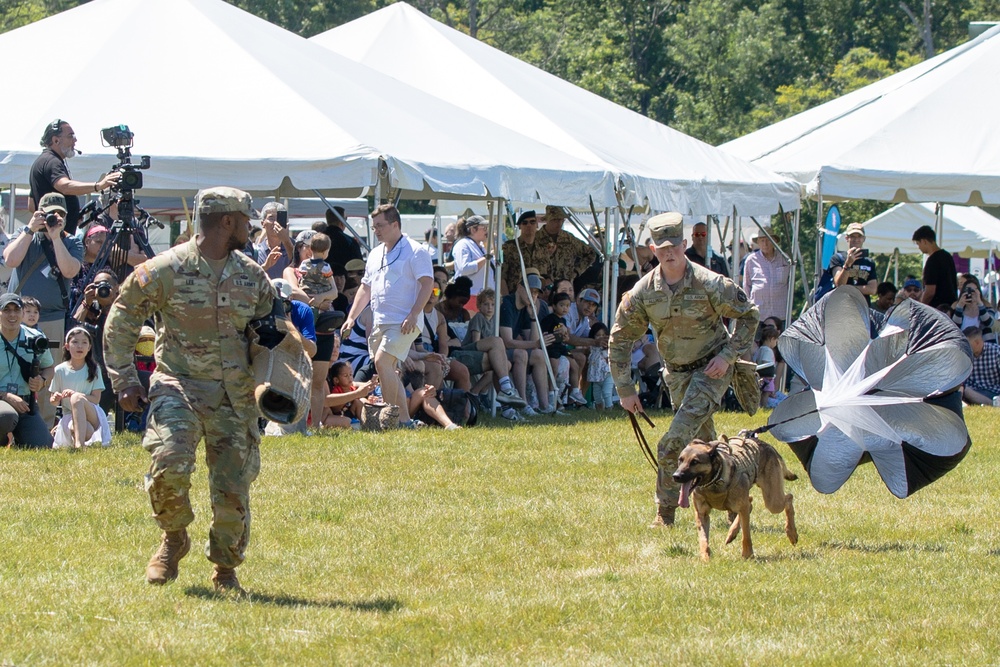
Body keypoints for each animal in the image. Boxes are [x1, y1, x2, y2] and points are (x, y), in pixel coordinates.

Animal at [668, 430, 800, 560]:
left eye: (695, 462)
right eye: (680, 460)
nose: (676, 476)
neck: (714, 481)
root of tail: (766, 445)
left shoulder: (742, 508)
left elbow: (746, 535)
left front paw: (747, 555)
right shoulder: (702, 514)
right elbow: (703, 539)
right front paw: (706, 558)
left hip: (772, 501)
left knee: (788, 498)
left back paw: (791, 532)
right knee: (750, 502)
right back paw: (732, 533)